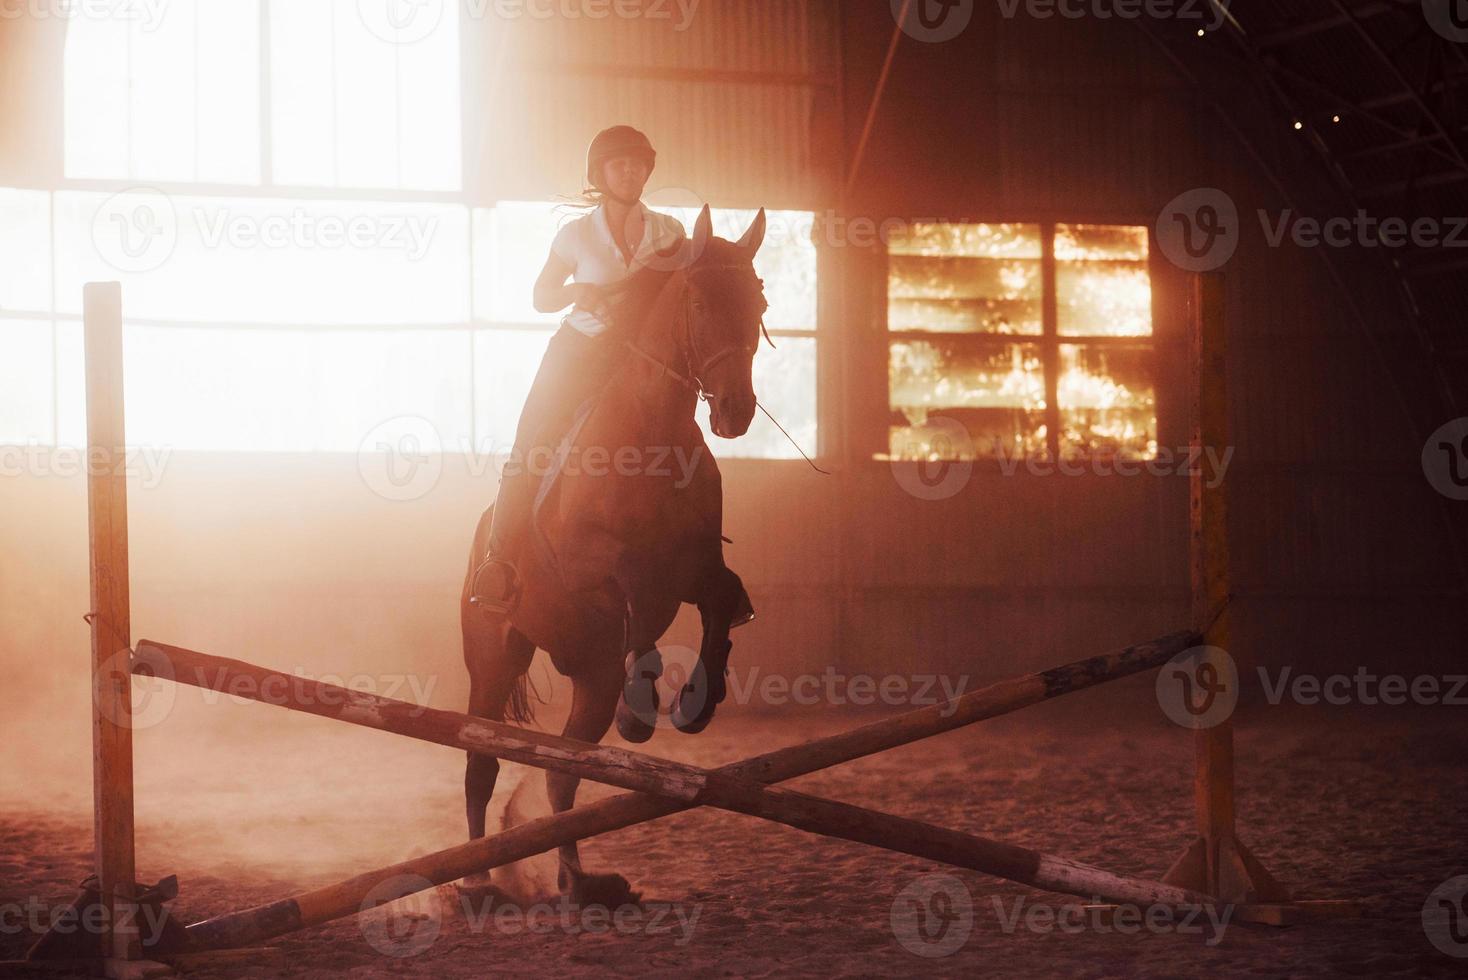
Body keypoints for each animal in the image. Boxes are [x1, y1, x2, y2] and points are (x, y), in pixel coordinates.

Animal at [458, 205, 769, 903]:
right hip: (492, 662)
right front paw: (643, 711)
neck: (649, 436)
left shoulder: (695, 569)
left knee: (562, 774)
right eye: (700, 301)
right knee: (480, 765)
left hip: (591, 676)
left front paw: (695, 705)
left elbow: (718, 600)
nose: (735, 412)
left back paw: (581, 883)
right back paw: (479, 881)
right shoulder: (595, 570)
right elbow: (634, 591)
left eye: (759, 303)